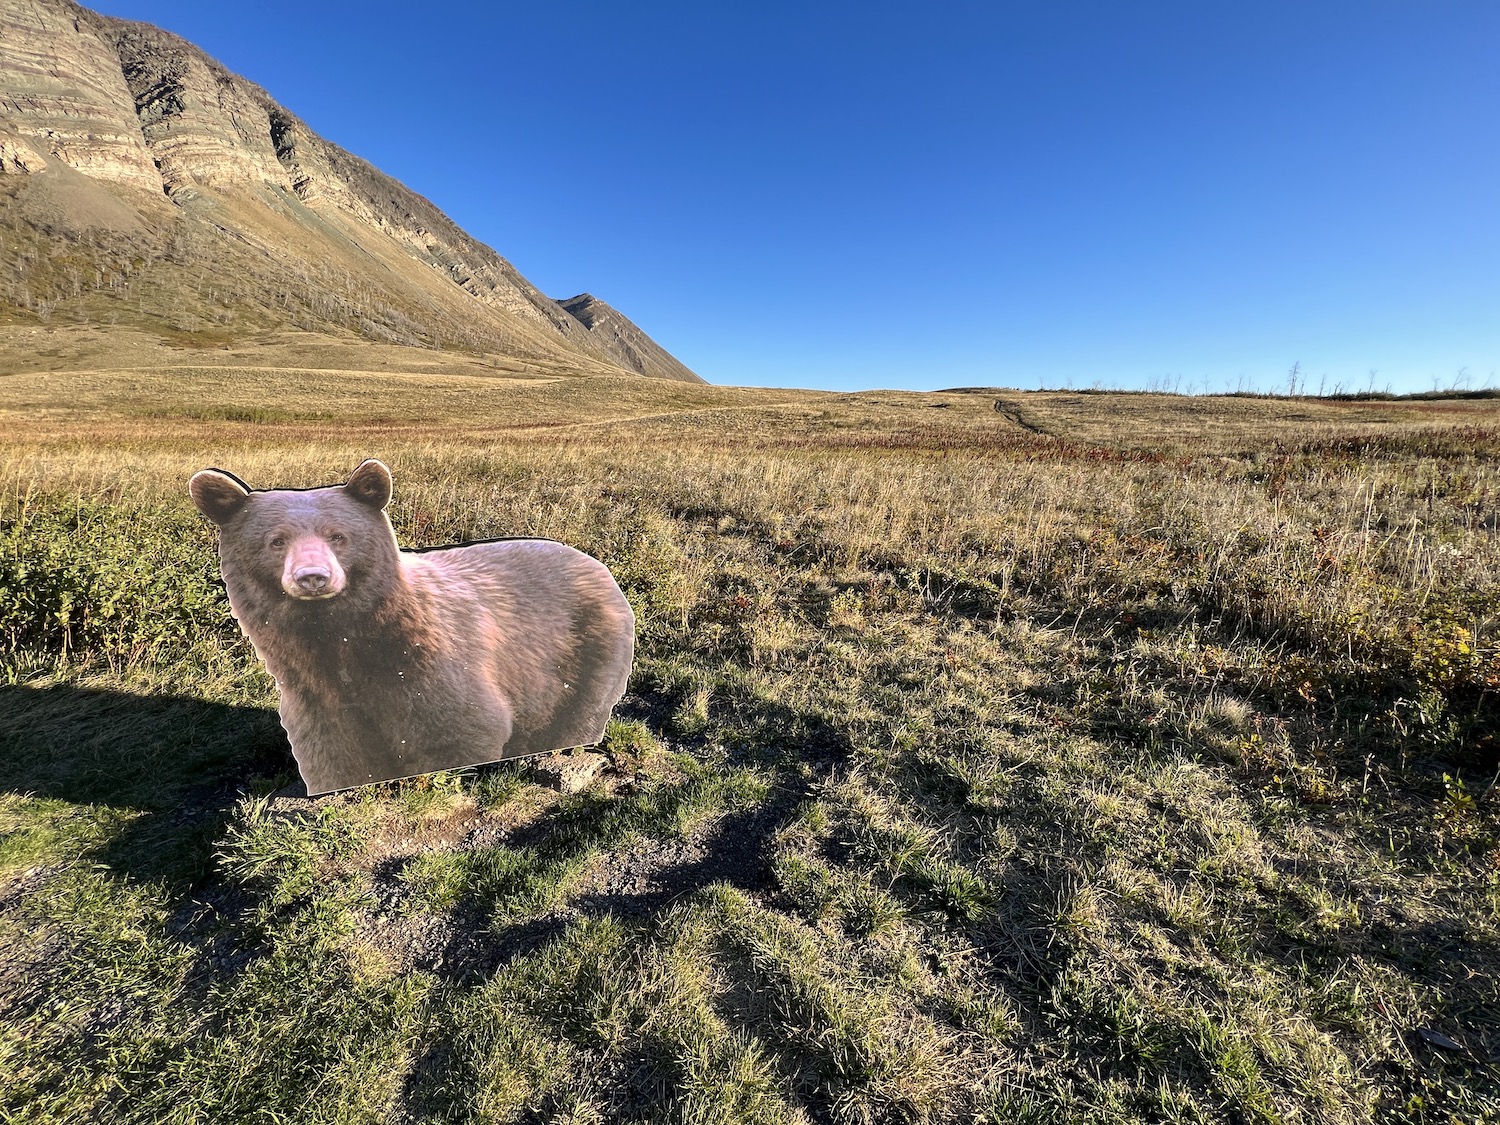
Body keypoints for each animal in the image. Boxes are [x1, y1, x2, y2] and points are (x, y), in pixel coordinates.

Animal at [189, 459, 635, 795]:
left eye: (338, 536)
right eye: (276, 541)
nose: (312, 577)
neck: (340, 641)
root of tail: (596, 564)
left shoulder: (427, 667)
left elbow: (460, 728)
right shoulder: (317, 699)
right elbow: (335, 755)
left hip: (588, 649)